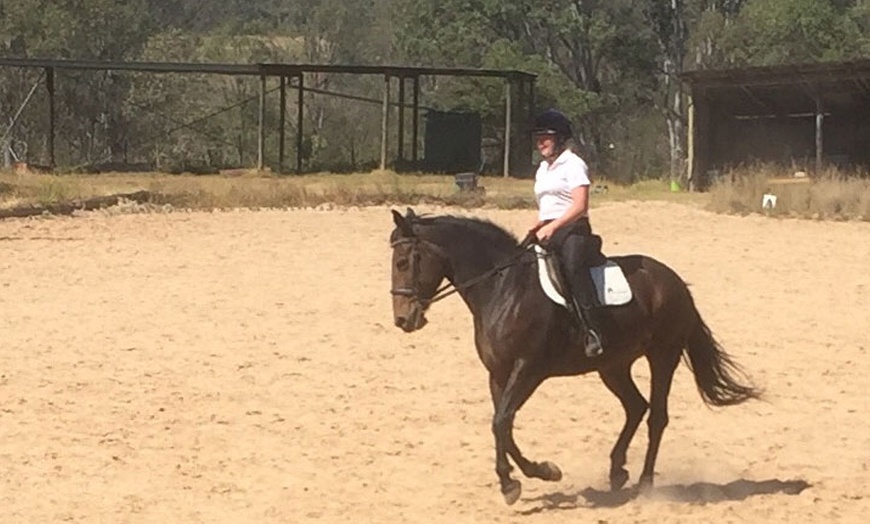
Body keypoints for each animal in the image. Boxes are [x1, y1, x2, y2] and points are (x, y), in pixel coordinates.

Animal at [390, 207, 764, 506]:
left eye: (403, 262)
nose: (403, 320)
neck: (503, 287)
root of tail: (675, 281)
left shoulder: (528, 370)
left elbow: (502, 422)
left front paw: (536, 474)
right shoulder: (498, 374)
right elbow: (500, 424)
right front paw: (515, 481)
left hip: (663, 356)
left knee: (656, 415)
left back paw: (645, 483)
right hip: (613, 366)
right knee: (636, 407)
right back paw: (617, 471)